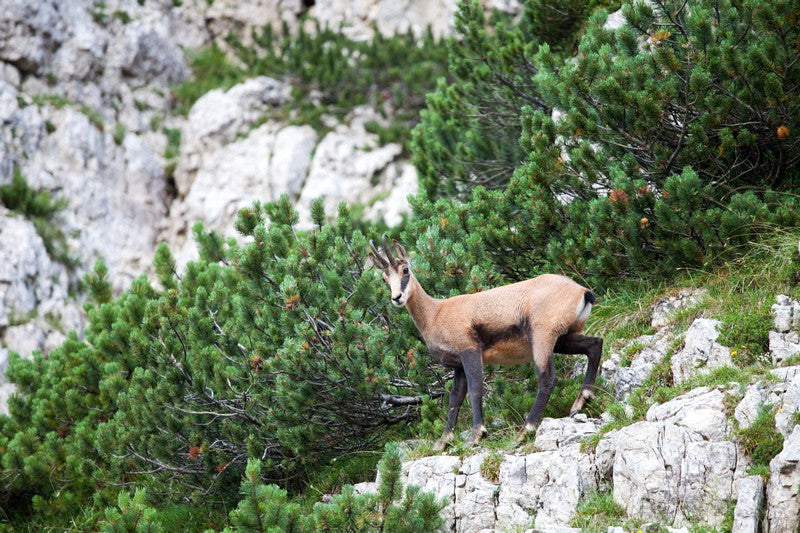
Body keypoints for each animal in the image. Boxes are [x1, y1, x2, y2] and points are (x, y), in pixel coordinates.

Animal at [369, 236, 603, 451]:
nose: (397, 297)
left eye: (405, 269)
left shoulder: (470, 352)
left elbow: (475, 390)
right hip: (563, 339)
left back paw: (524, 431)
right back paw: (581, 401)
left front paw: (476, 435)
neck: (436, 313)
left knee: (548, 379)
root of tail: (582, 291)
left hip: (542, 338)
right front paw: (443, 442)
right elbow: (455, 398)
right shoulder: (458, 365)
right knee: (595, 344)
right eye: (384, 278)